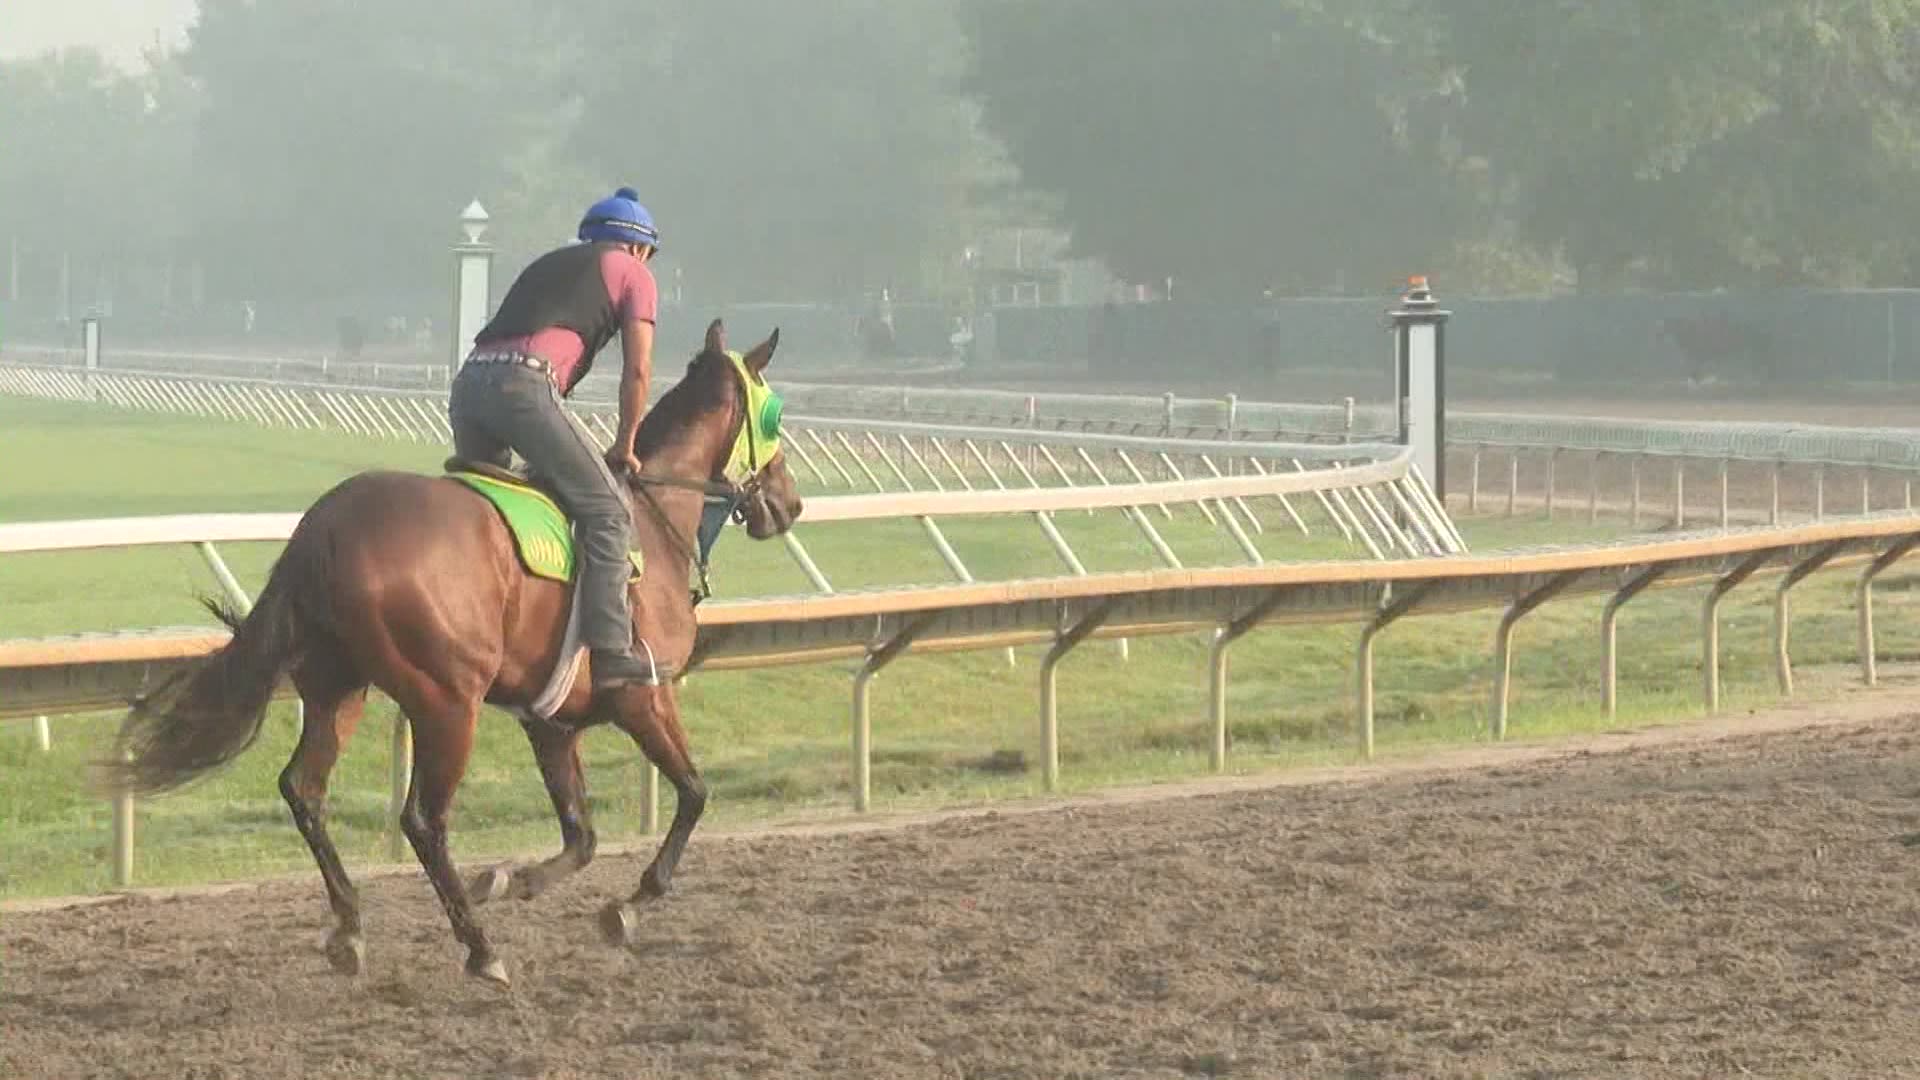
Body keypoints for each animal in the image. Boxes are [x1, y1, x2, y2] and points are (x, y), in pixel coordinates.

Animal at [108, 315, 798, 980]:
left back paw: (351, 926)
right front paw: (627, 906)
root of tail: (325, 525)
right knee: (423, 819)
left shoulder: (553, 724)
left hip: (338, 686)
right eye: (774, 414)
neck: (653, 525)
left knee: (304, 789)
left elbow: (582, 836)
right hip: (447, 702)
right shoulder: (643, 698)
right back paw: (480, 949)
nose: (789, 502)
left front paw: (511, 878)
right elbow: (694, 794)